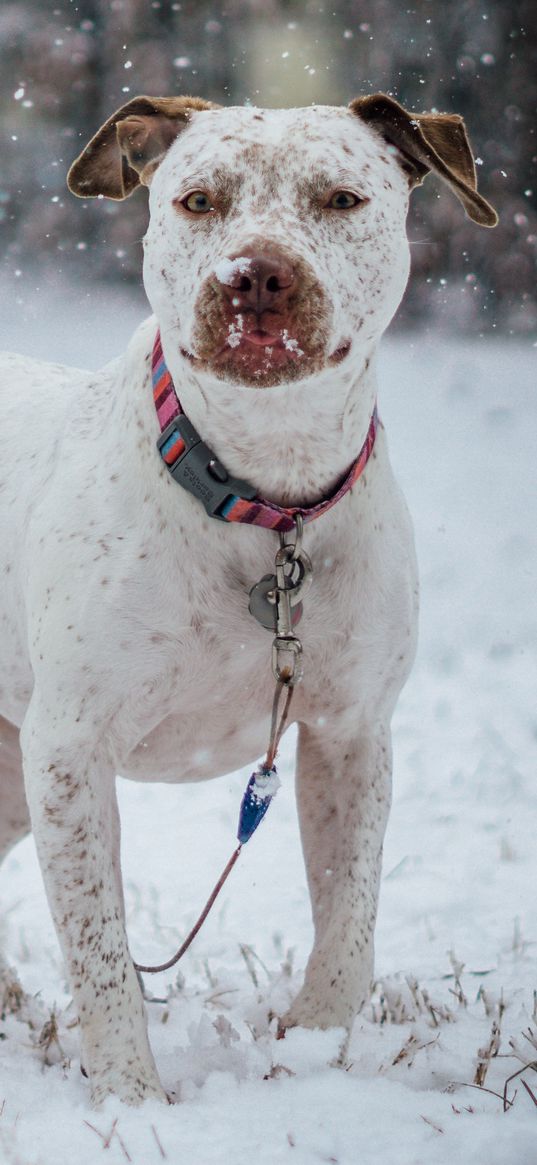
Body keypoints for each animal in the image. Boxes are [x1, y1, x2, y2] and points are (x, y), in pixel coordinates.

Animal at [0, 95, 493, 1104]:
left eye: (340, 198)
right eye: (199, 199)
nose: (255, 274)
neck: (268, 496)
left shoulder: (350, 731)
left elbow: (349, 915)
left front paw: (313, 1051)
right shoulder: (69, 748)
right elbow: (101, 951)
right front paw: (130, 1099)